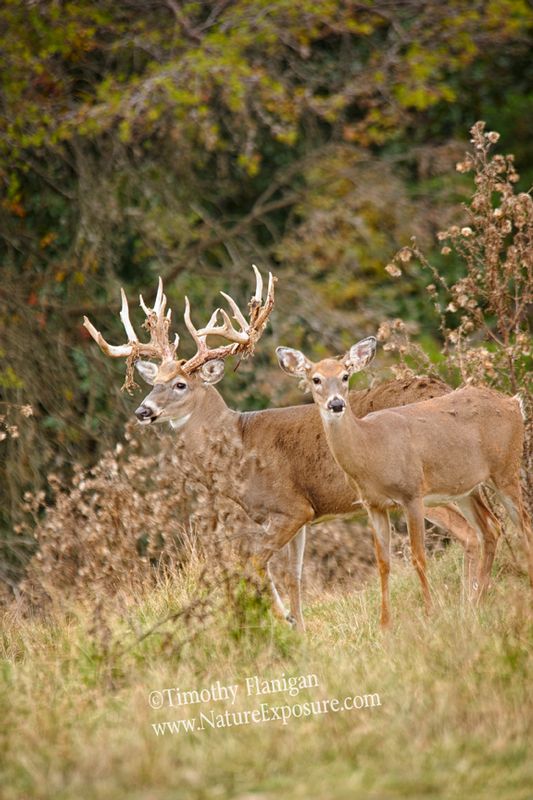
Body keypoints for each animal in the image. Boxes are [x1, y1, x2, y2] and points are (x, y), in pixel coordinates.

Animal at [83, 269, 498, 631]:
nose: (143, 411)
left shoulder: (291, 508)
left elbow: (254, 563)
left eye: (181, 384)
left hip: (426, 489)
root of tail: (444, 386)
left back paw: (464, 607)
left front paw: (282, 620)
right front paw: (299, 628)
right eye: (155, 381)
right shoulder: (297, 517)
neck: (240, 445)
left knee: (469, 533)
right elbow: (293, 575)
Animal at [277, 336, 533, 627]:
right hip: (465, 488)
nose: (336, 404)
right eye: (316, 379)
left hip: (506, 469)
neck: (371, 447)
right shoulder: (373, 505)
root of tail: (514, 403)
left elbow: (418, 557)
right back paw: (476, 604)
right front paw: (384, 624)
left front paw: (430, 613)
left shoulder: (412, 494)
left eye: (345, 375)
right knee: (491, 527)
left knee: (524, 526)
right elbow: (383, 564)